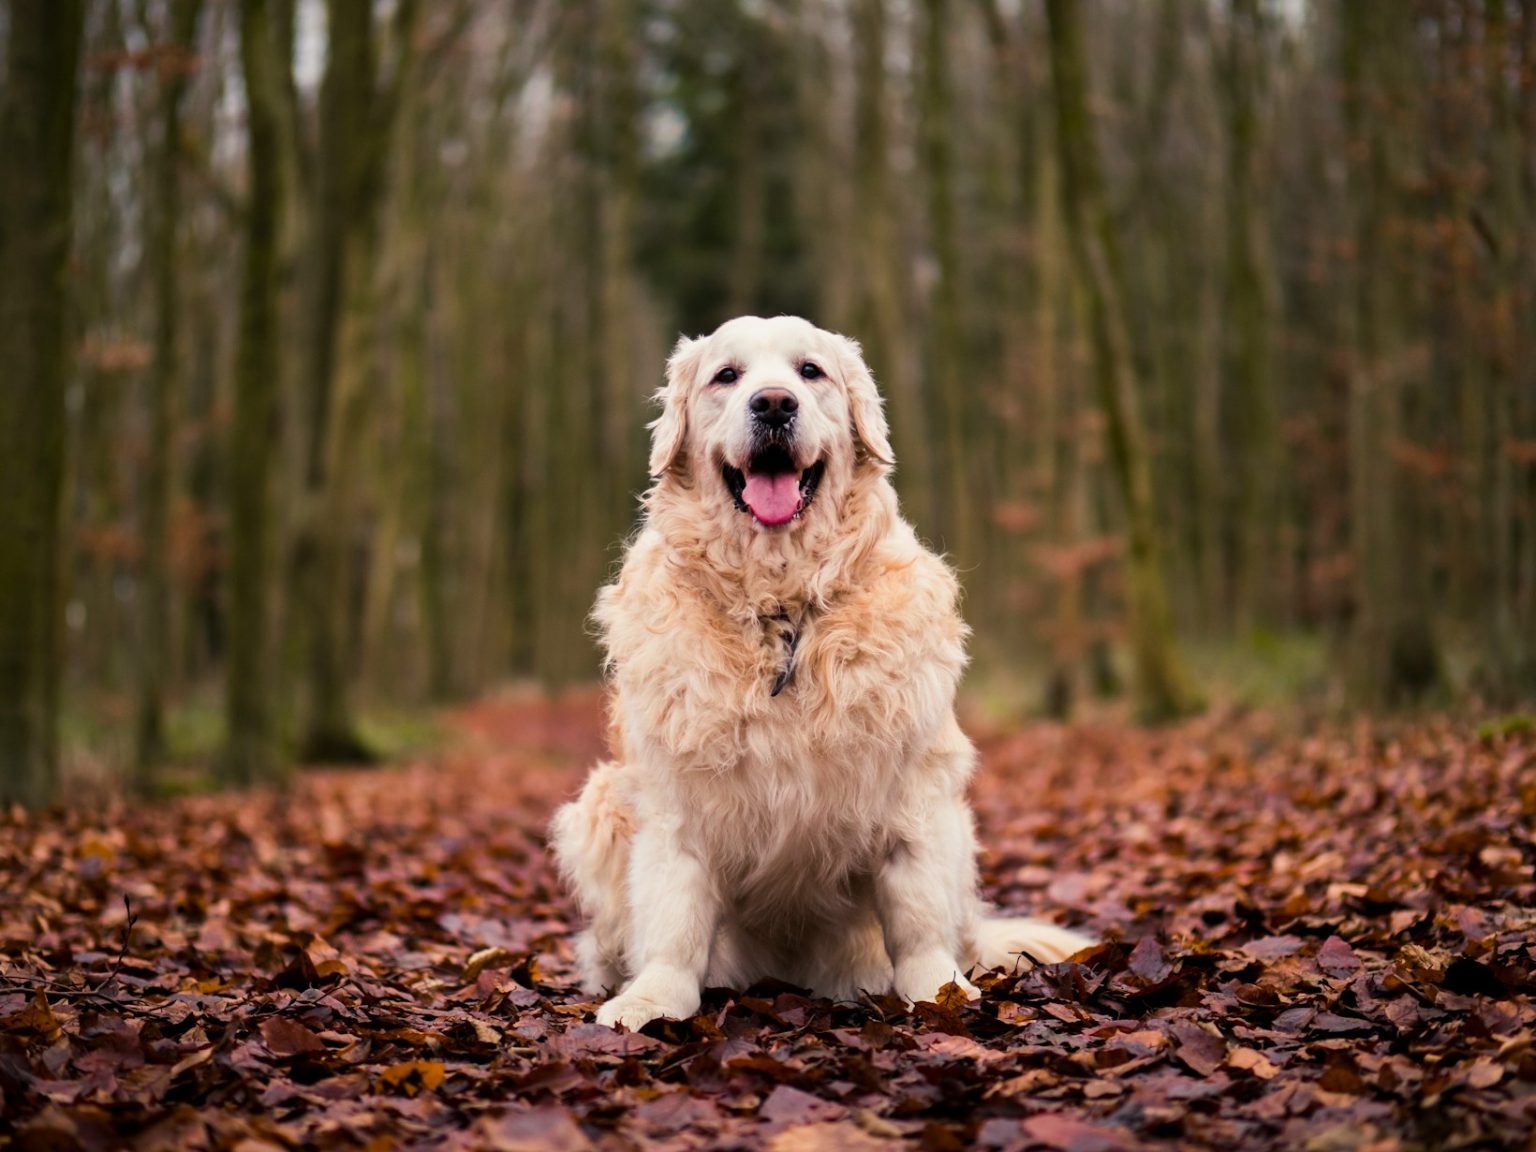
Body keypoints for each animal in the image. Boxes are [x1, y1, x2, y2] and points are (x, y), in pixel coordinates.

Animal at [546, 317, 1087, 1038]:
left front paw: (940, 992)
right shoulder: (674, 804)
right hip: (599, 803)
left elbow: (917, 918)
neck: (782, 609)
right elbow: (673, 917)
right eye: (726, 375)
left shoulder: (916, 795)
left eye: (810, 371)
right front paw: (652, 998)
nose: (773, 404)